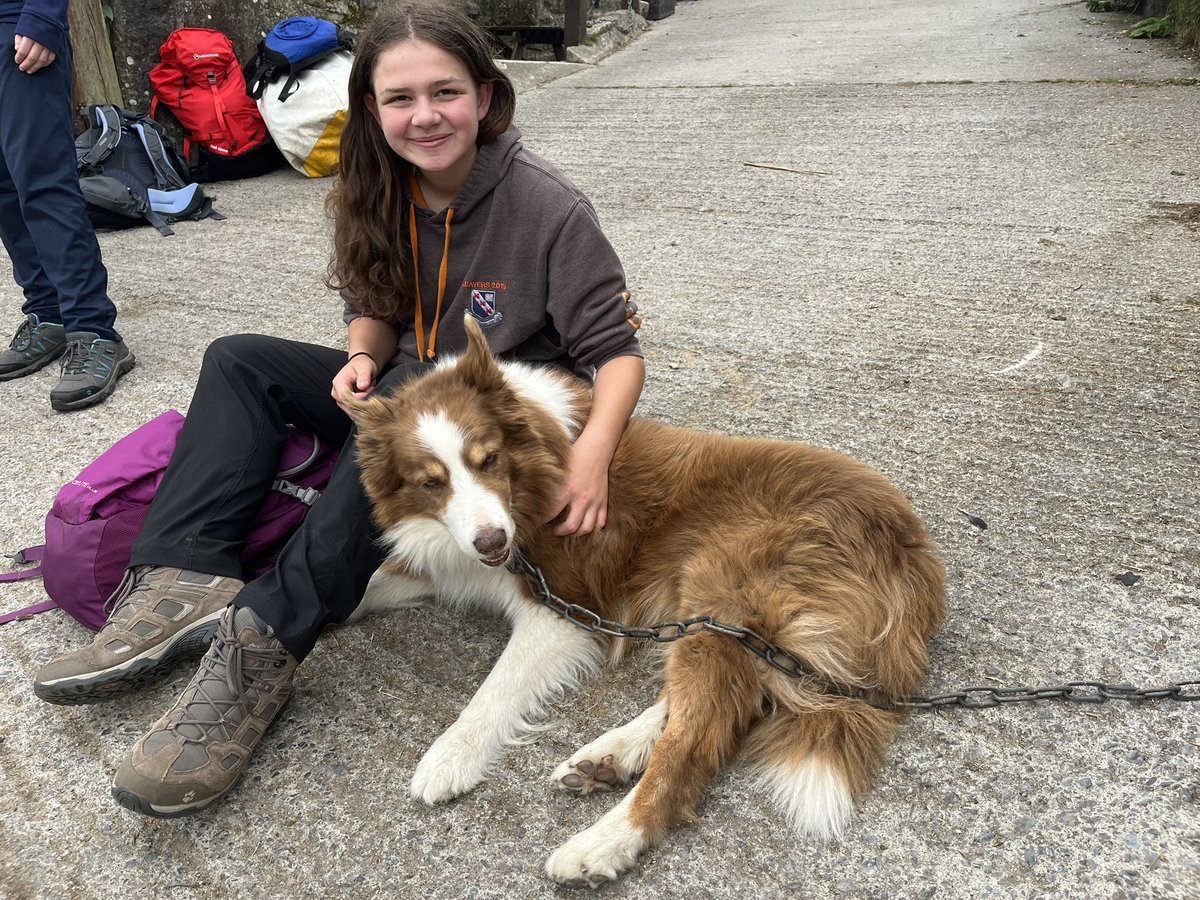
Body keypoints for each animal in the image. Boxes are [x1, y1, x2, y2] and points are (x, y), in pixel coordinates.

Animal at [348, 316, 945, 888]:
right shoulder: (448, 562)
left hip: (720, 589)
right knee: (732, 699)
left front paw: (448, 756)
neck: (534, 467)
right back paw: (610, 756)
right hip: (725, 620)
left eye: (488, 459)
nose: (493, 543)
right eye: (431, 482)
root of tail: (908, 545)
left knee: (698, 738)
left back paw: (602, 843)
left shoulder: (562, 609)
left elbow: (492, 692)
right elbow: (366, 589)